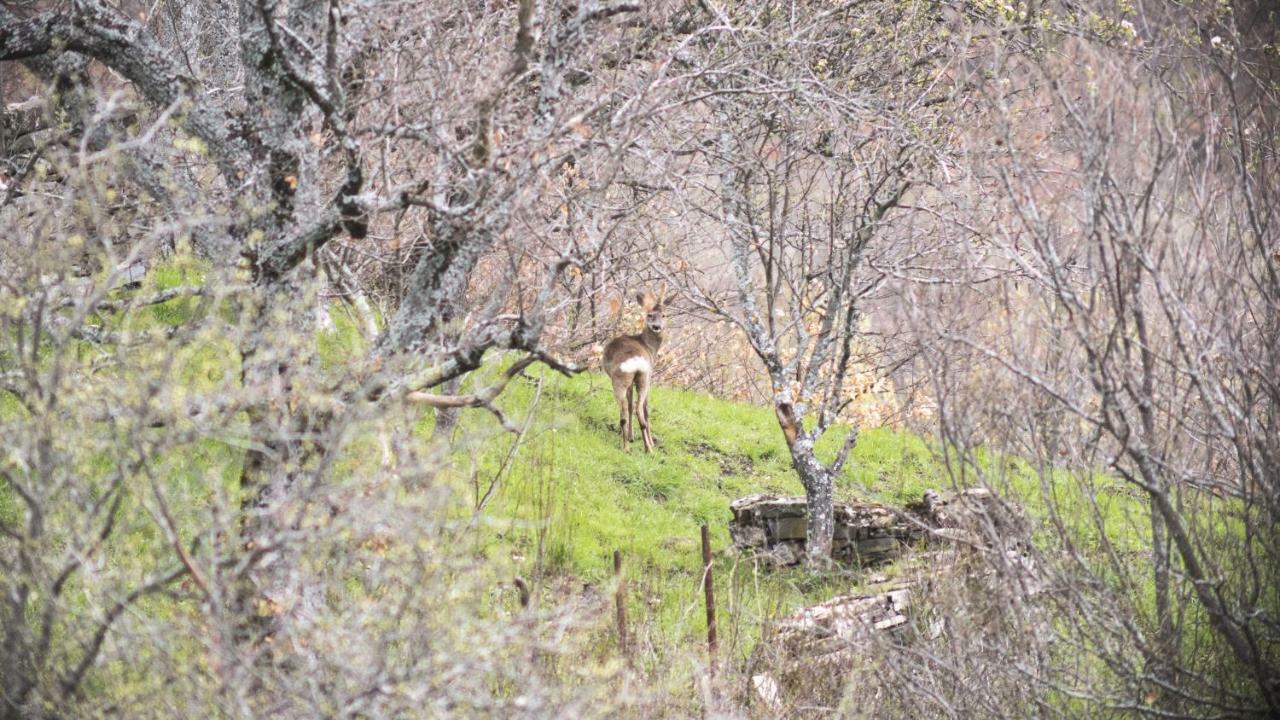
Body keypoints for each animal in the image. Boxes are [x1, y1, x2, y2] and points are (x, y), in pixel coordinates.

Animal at [606, 289, 670, 448]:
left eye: (664, 315)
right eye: (650, 315)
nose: (656, 326)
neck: (649, 347)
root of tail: (636, 361)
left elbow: (632, 406)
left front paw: (631, 437)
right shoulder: (649, 377)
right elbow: (645, 407)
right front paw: (646, 440)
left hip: (622, 379)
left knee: (627, 409)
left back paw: (629, 447)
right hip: (642, 378)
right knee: (638, 408)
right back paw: (647, 448)